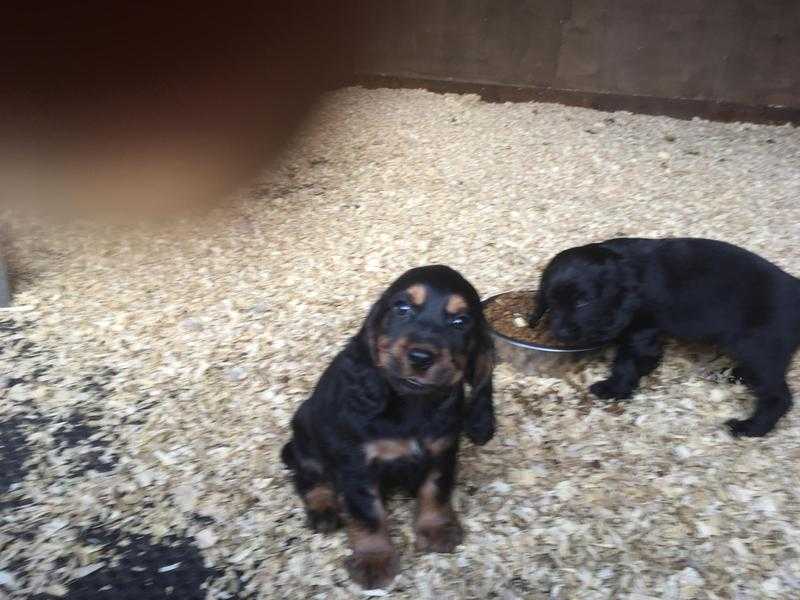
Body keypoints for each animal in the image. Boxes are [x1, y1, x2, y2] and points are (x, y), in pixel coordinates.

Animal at [282, 264, 494, 588]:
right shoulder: (357, 465)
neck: (412, 405)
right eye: (402, 308)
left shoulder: (443, 450)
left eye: (460, 322)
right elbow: (368, 513)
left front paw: (437, 528)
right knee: (308, 478)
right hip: (306, 440)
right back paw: (323, 509)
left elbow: (435, 490)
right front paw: (374, 559)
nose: (421, 357)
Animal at [532, 237, 800, 438]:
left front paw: (614, 388)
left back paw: (750, 427)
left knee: (779, 395)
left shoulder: (641, 331)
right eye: (552, 302)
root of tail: (794, 287)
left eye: (583, 302)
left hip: (760, 346)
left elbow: (627, 362)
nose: (560, 332)